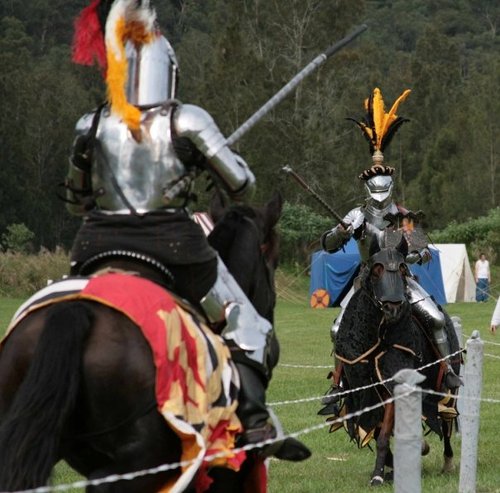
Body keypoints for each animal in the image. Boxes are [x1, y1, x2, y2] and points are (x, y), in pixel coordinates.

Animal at [328, 237, 460, 484]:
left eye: (402, 269)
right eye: (376, 270)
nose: (393, 307)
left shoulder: (393, 384)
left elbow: (383, 435)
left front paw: (378, 475)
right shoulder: (364, 391)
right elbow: (378, 431)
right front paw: (390, 465)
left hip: (448, 386)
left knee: (447, 420)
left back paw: (447, 462)